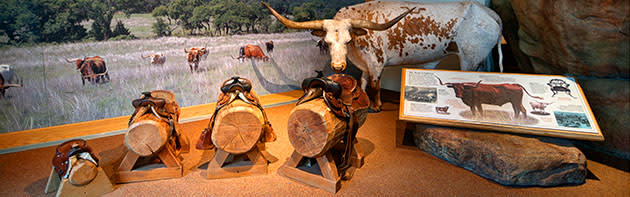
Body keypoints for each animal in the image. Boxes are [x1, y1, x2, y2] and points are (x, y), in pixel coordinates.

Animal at [262, 1, 504, 112]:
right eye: (328, 42)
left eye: (348, 41)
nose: (338, 67)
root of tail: (486, 10)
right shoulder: (363, 66)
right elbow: (362, 82)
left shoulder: (376, 63)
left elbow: (375, 84)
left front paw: (376, 106)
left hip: (470, 58)